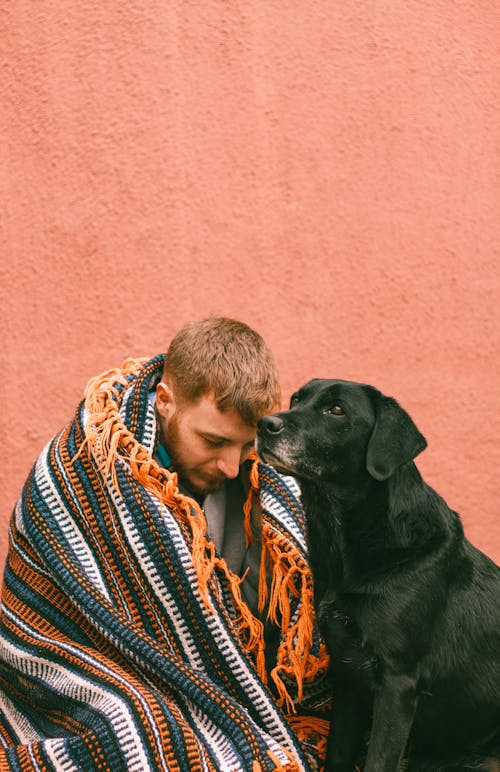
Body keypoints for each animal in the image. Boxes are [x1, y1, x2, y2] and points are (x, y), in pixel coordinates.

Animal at [258, 382, 500, 772]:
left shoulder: (397, 683)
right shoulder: (348, 673)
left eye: (336, 410)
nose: (265, 424)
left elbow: (378, 760)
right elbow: (338, 753)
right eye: (296, 399)